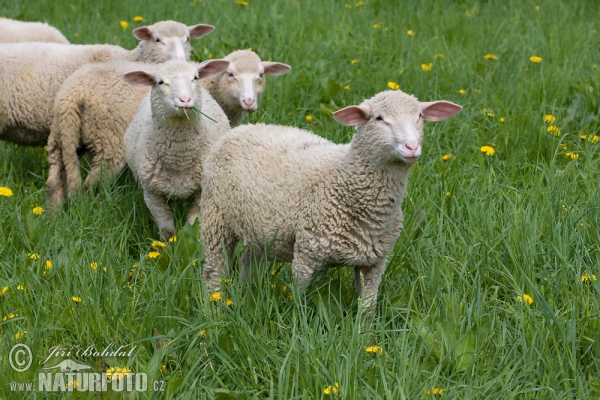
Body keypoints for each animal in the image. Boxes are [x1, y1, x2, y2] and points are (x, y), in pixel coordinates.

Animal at [45, 48, 290, 206]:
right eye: (230, 74)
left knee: (54, 181)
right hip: (108, 142)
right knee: (90, 184)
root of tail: (71, 96)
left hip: (60, 138)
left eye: (260, 76)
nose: (249, 102)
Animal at [123, 59, 231, 241]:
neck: (180, 159)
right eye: (160, 82)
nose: (185, 100)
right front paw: (169, 245)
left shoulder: (201, 192)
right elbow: (167, 231)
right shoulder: (152, 195)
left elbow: (194, 224)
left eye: (195, 77)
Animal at [199, 90, 462, 310]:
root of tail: (240, 129)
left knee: (248, 261)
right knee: (215, 269)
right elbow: (300, 302)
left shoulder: (375, 262)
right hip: (215, 218)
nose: (411, 146)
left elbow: (368, 308)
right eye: (378, 118)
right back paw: (215, 306)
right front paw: (300, 326)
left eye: (420, 116)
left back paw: (247, 294)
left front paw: (364, 335)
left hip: (260, 230)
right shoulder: (307, 255)